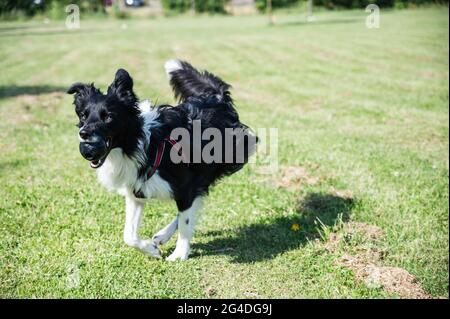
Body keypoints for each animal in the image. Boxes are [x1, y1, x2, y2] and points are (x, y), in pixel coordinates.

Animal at [67, 60, 256, 262]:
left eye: (108, 116)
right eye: (83, 115)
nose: (83, 133)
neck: (137, 145)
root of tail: (217, 97)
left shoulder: (185, 184)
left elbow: (185, 221)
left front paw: (180, 254)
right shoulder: (137, 191)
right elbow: (129, 235)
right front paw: (151, 250)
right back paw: (161, 236)